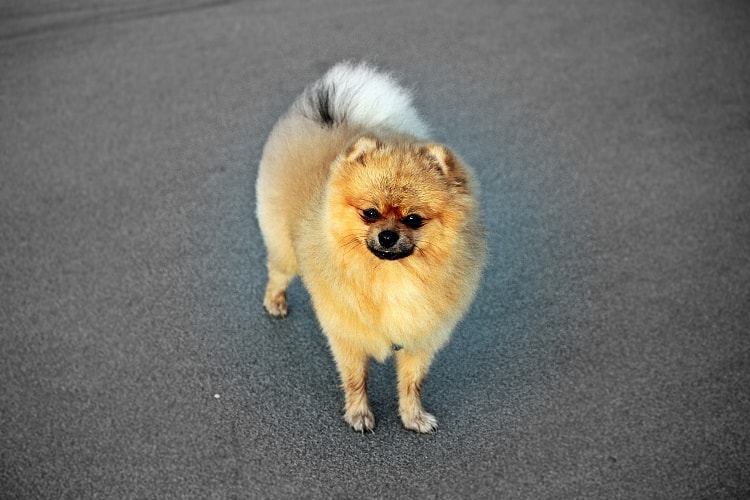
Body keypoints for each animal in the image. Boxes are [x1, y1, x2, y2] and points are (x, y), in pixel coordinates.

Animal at [256, 60, 484, 432]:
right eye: (370, 213)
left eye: (413, 219)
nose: (387, 236)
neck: (391, 275)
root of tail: (330, 114)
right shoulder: (347, 332)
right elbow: (355, 378)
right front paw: (360, 414)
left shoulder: (421, 337)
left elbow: (412, 382)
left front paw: (413, 416)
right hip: (283, 246)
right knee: (277, 272)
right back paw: (275, 302)